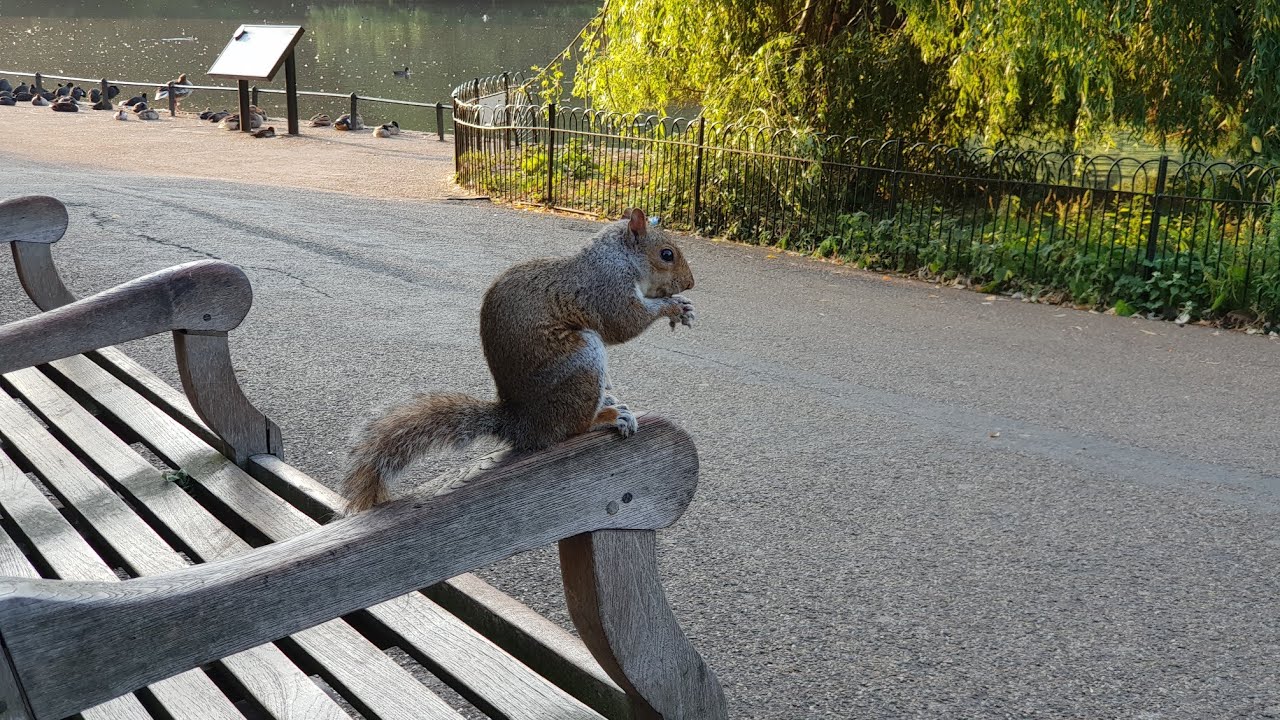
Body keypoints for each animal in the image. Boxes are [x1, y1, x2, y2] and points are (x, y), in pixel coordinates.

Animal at [341, 207, 696, 513]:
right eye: (666, 254)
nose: (690, 283)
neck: (616, 258)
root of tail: (522, 424)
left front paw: (683, 307)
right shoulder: (606, 291)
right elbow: (624, 323)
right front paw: (672, 306)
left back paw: (607, 399)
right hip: (581, 361)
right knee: (571, 428)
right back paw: (606, 416)